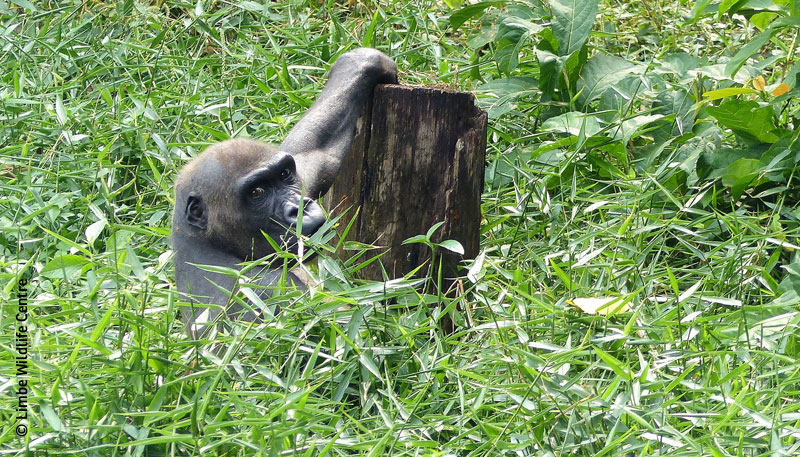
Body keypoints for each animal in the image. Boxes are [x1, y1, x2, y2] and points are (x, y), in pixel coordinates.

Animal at [172, 48, 398, 337]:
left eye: (284, 175)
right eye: (257, 192)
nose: (299, 208)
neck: (210, 247)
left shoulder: (299, 167)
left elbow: (316, 150)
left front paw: (364, 62)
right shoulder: (268, 293)